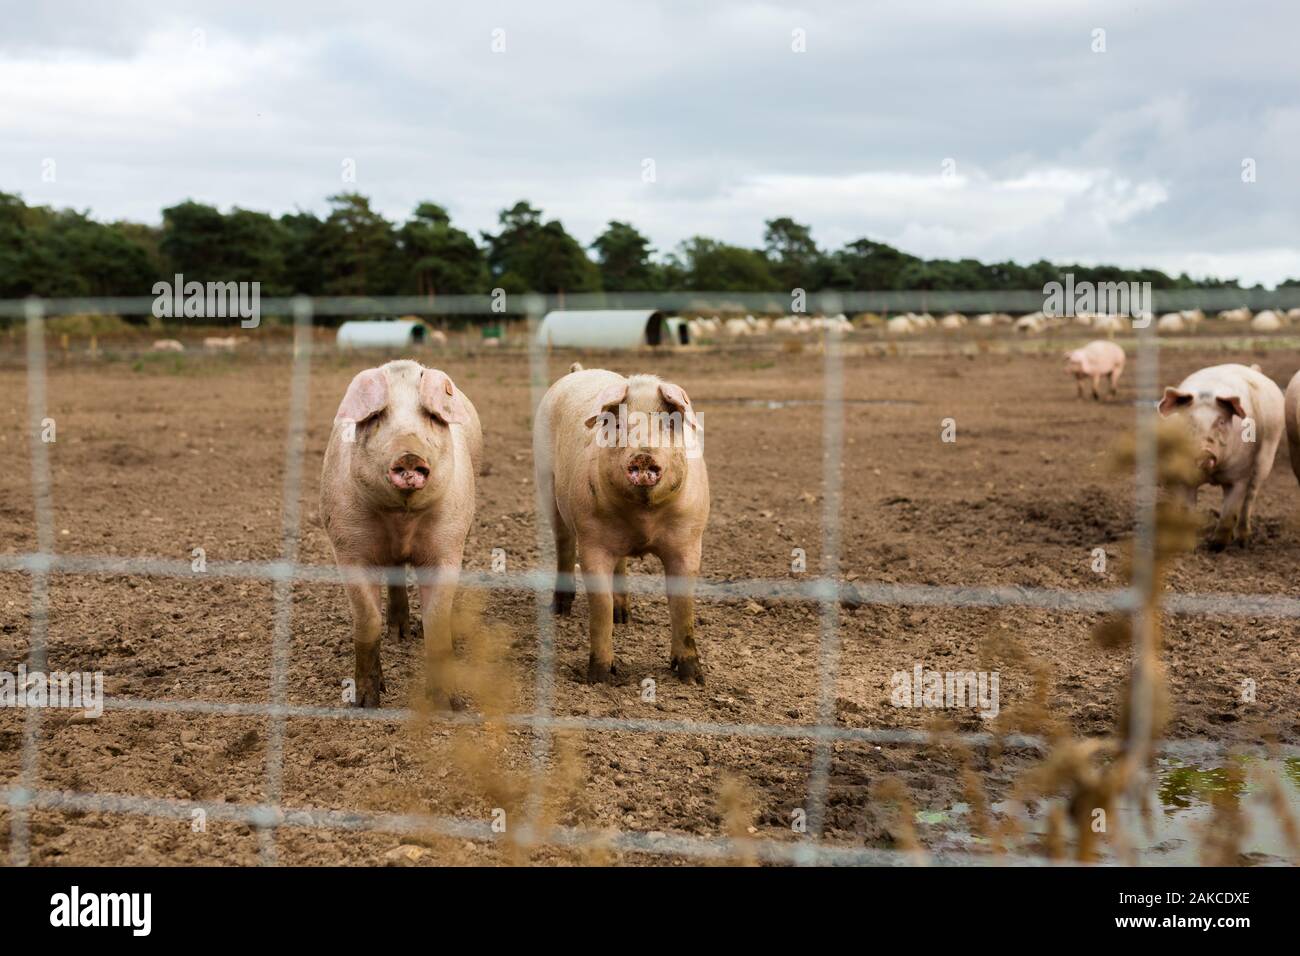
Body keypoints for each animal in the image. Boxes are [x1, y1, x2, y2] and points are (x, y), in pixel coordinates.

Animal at [322, 361, 486, 707]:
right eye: (377, 418)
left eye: (432, 418)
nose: (409, 455)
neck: (401, 520)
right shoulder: (347, 545)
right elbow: (366, 621)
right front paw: (366, 703)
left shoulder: (448, 545)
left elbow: (437, 622)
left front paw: (449, 705)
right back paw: (397, 635)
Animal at [535, 361, 712, 686]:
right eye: (618, 426)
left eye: (668, 424)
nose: (643, 455)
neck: (643, 519)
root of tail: (578, 371)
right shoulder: (592, 542)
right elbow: (599, 607)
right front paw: (599, 678)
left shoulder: (689, 542)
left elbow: (683, 607)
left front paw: (694, 678)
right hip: (547, 484)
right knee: (563, 543)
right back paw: (560, 610)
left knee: (621, 564)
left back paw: (624, 617)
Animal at [1159, 361, 1279, 548]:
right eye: (1189, 421)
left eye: (1221, 421)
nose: (1204, 452)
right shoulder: (1184, 477)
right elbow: (1187, 512)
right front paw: (1189, 547)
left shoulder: (1240, 476)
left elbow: (1229, 514)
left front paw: (1215, 547)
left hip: (1265, 460)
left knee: (1249, 498)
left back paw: (1243, 541)